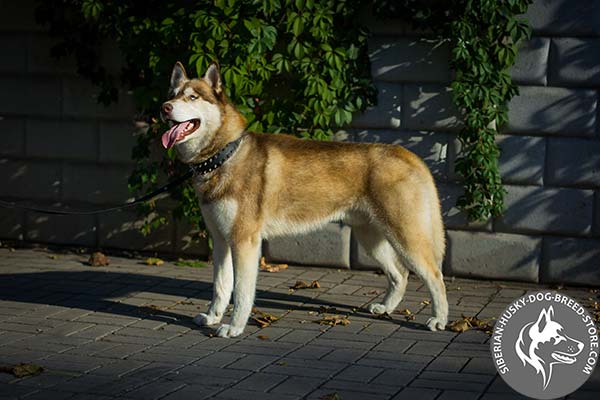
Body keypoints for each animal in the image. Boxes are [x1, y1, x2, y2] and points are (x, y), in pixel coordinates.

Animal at [161, 61, 450, 338]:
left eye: (192, 96)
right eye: (172, 94)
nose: (165, 107)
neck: (225, 154)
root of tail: (408, 154)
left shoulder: (245, 241)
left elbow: (242, 292)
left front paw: (234, 327)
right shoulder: (221, 241)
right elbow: (221, 287)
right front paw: (213, 317)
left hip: (406, 237)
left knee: (435, 276)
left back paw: (439, 319)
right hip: (371, 239)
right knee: (400, 274)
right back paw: (385, 308)